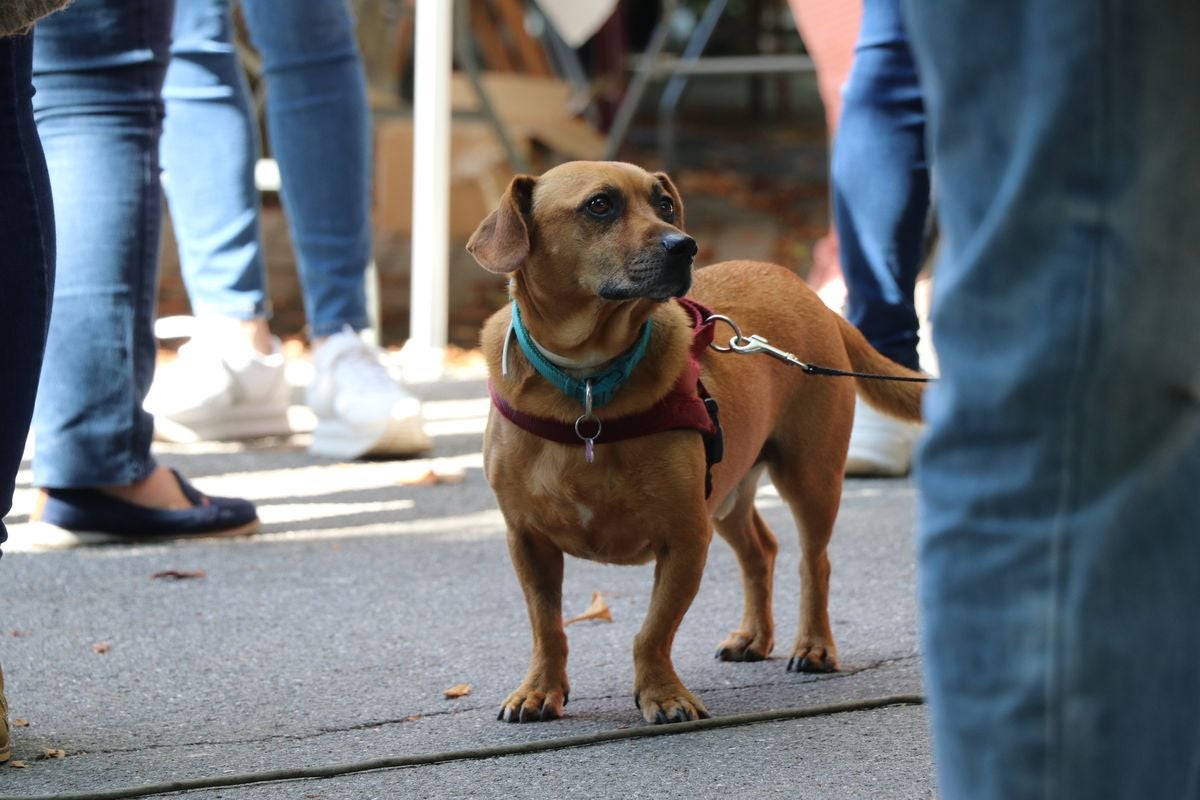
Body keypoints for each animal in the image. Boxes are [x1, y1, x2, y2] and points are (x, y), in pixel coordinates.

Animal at [463, 159, 921, 724]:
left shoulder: (685, 537)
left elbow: (653, 631)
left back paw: (813, 645)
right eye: (600, 205)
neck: (588, 387)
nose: (685, 246)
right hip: (727, 493)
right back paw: (753, 637)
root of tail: (809, 294)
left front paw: (662, 694)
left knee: (814, 561)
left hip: (809, 479)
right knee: (761, 550)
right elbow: (547, 627)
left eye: (663, 204)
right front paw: (539, 688)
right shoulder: (528, 542)